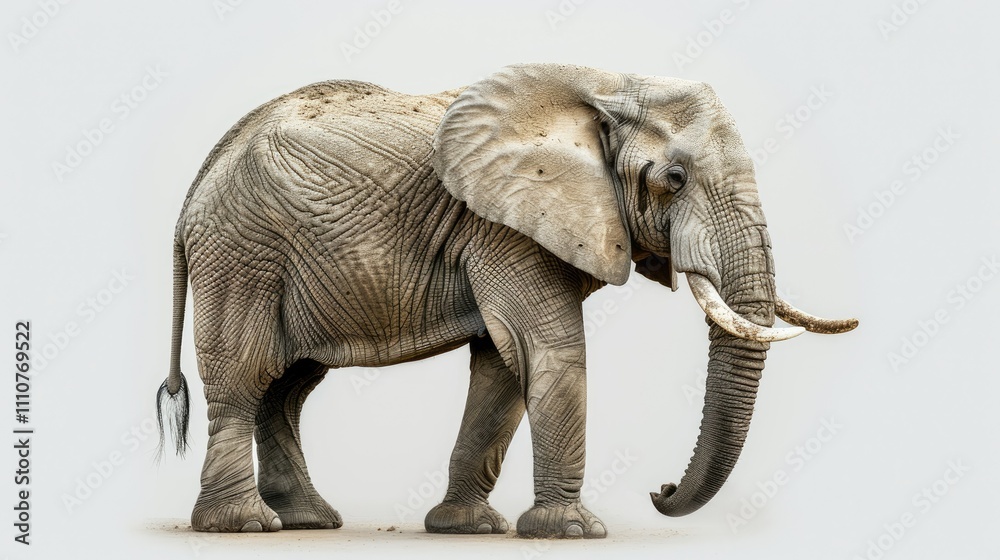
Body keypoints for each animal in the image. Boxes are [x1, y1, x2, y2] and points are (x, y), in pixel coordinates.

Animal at [155, 63, 857, 538]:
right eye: (674, 180)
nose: (660, 490)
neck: (610, 86)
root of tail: (196, 186)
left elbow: (501, 368)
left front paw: (468, 528)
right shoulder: (504, 225)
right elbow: (549, 350)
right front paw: (574, 533)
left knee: (289, 386)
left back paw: (309, 520)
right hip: (240, 253)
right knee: (246, 377)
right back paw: (246, 526)